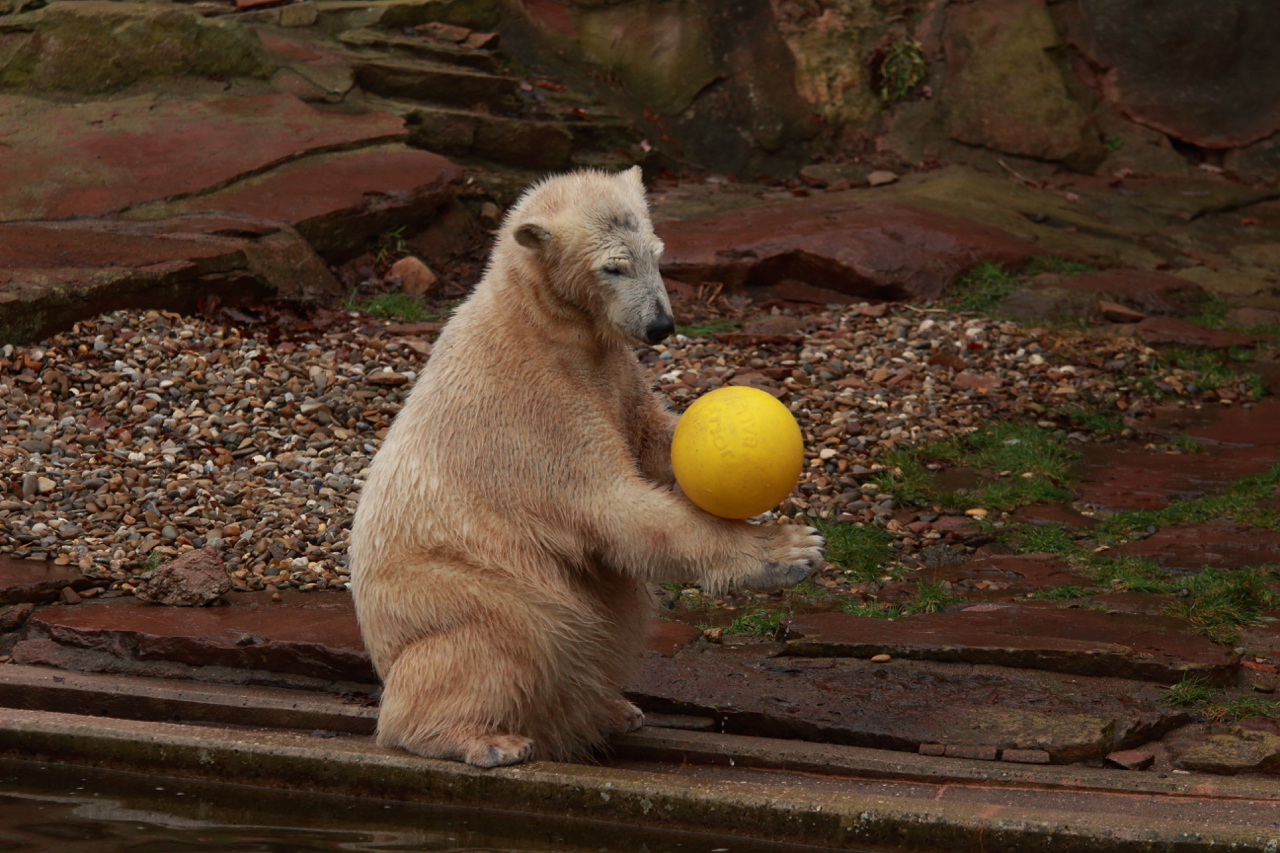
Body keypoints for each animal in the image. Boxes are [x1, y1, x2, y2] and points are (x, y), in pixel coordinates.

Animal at [348, 167, 824, 768]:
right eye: (613, 266)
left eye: (656, 253)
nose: (660, 326)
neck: (539, 317)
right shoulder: (538, 407)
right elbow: (614, 505)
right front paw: (792, 550)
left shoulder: (612, 372)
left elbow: (651, 440)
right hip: (456, 590)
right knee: (512, 634)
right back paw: (487, 738)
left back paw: (614, 709)